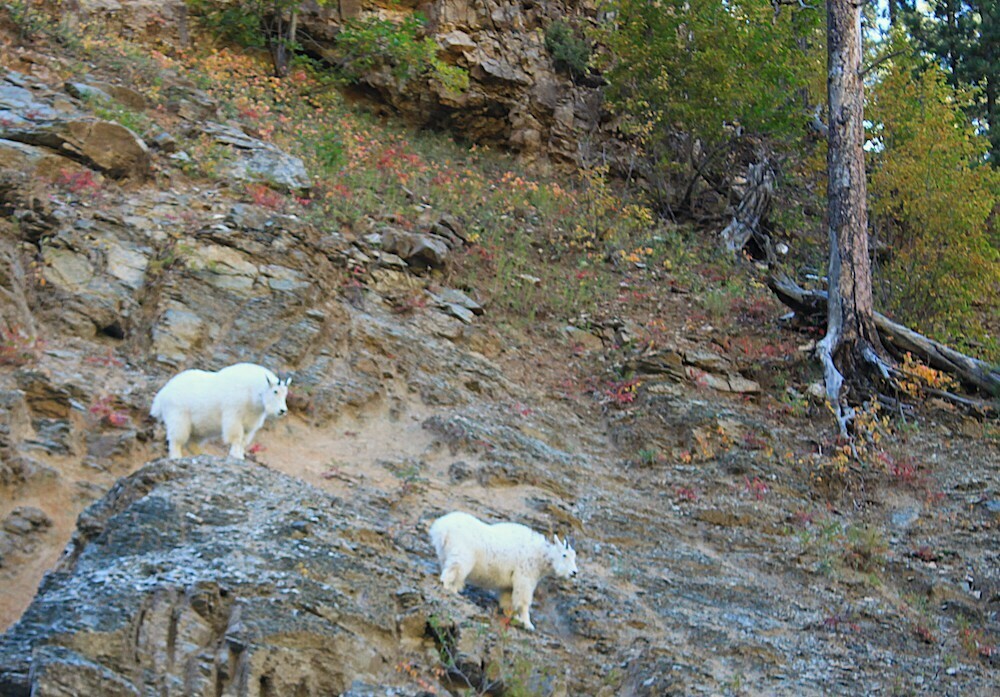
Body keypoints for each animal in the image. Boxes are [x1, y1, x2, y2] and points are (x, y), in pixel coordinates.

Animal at [148, 362, 292, 460]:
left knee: (192, 441)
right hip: (177, 416)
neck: (253, 393)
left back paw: (201, 454)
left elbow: (243, 440)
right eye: (275, 391)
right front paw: (235, 455)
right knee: (176, 439)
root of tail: (161, 395)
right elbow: (236, 436)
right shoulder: (234, 415)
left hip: (198, 427)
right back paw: (176, 456)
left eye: (285, 393)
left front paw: (240, 455)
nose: (282, 411)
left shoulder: (250, 424)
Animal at [428, 508, 580, 628]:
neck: (540, 555)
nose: (574, 572)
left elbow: (508, 600)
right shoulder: (524, 577)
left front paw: (512, 616)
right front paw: (528, 623)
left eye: (574, 556)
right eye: (565, 555)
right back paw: (450, 590)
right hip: (461, 557)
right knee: (450, 573)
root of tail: (442, 529)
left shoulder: (510, 584)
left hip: (445, 555)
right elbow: (523, 602)